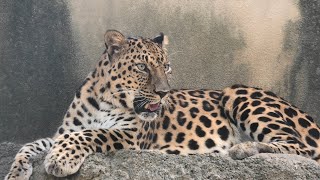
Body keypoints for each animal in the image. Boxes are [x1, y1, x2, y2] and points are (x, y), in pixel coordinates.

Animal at [5, 29, 320, 179]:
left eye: (166, 67)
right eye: (143, 68)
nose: (164, 93)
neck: (104, 98)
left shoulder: (131, 136)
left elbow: (91, 134)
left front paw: (60, 160)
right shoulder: (64, 130)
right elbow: (32, 144)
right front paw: (16, 172)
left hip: (237, 92)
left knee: (300, 148)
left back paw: (243, 149)